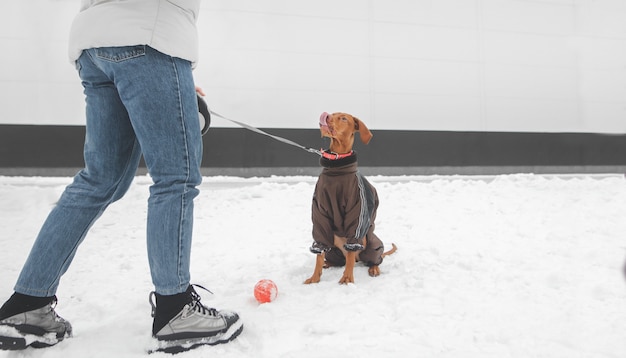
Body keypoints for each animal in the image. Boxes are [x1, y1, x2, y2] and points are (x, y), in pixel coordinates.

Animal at [302, 112, 394, 286]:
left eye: (344, 118)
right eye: (333, 114)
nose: (326, 116)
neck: (337, 166)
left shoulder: (357, 212)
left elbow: (351, 254)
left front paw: (347, 278)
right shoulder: (319, 212)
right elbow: (319, 253)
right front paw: (315, 277)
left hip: (370, 244)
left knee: (371, 259)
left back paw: (374, 268)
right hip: (333, 245)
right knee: (337, 258)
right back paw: (328, 263)